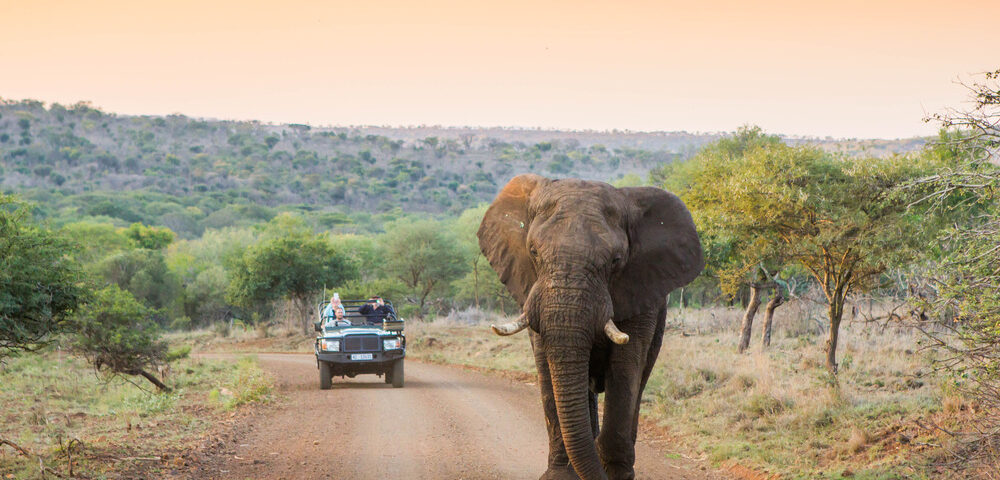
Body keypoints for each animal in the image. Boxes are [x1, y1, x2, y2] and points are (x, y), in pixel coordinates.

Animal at [478, 175, 704, 480]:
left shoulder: (640, 288)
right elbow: (548, 367)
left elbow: (626, 367)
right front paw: (560, 477)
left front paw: (615, 474)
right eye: (533, 252)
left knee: (639, 382)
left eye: (616, 260)